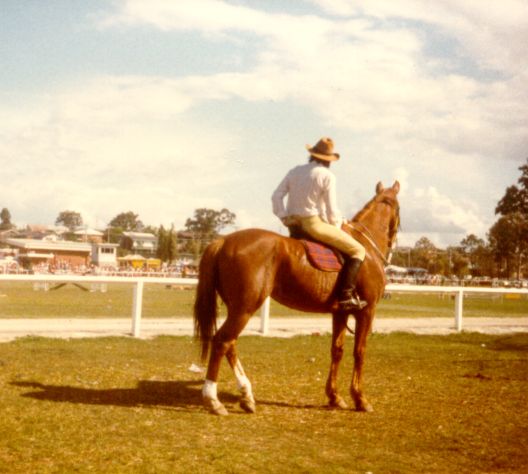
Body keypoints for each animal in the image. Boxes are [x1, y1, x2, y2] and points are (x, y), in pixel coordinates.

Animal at [194, 181, 400, 414]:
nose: (393, 247)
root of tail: (222, 241)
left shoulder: (340, 312)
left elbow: (337, 350)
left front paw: (334, 397)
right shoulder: (366, 311)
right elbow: (359, 352)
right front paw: (360, 398)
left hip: (238, 309)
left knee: (230, 344)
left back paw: (246, 396)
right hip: (244, 309)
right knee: (222, 341)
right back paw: (213, 399)